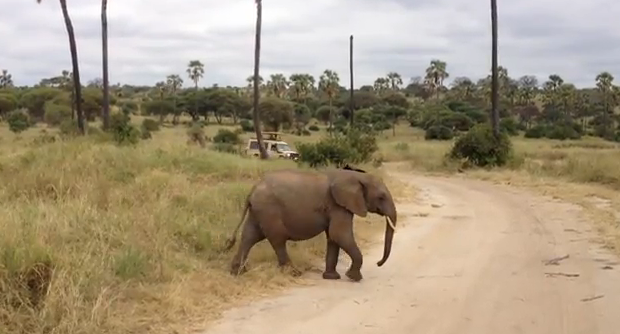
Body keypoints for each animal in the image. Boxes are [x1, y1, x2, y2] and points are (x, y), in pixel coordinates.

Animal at [223, 167, 398, 282]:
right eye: (381, 197)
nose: (378, 263)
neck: (356, 176)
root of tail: (252, 190)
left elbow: (333, 237)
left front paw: (331, 278)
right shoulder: (338, 205)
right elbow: (339, 234)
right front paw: (354, 278)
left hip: (259, 211)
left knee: (250, 236)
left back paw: (238, 272)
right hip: (269, 210)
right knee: (277, 239)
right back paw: (294, 273)